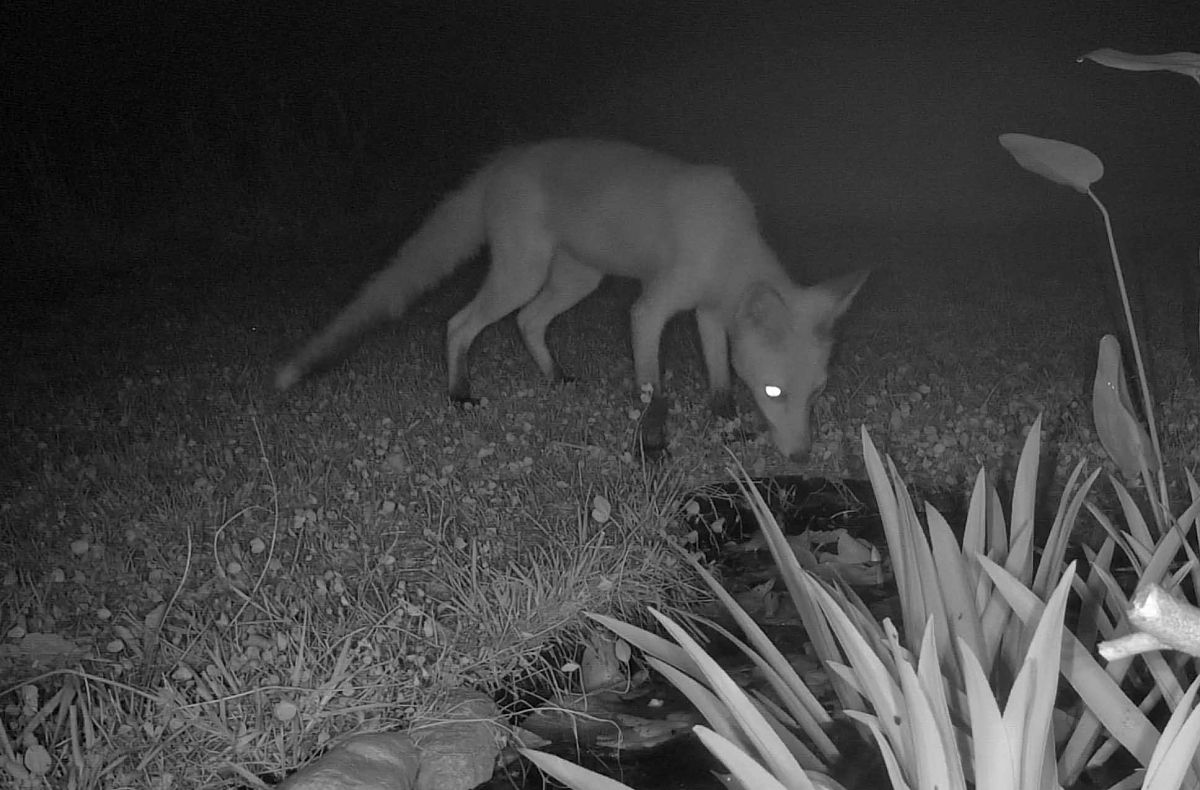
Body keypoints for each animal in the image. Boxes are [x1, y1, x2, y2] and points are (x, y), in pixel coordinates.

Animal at [275, 138, 867, 460]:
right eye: (774, 390)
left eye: (816, 393)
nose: (801, 457)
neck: (726, 246)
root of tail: (504, 158)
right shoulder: (652, 308)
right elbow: (654, 390)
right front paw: (653, 445)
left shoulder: (708, 313)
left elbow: (720, 378)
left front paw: (729, 424)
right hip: (523, 273)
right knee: (459, 323)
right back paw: (460, 392)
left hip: (577, 279)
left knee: (528, 322)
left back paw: (554, 377)